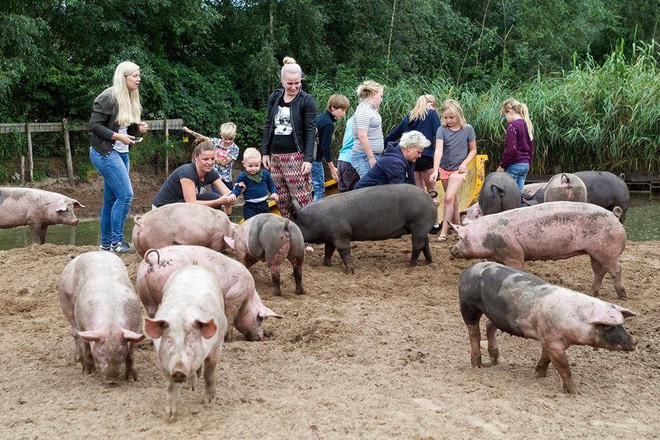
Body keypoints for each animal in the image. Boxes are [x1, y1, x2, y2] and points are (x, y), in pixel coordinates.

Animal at [58, 251, 144, 384]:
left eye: (120, 351)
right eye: (101, 351)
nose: (111, 380)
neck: (111, 323)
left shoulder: (135, 327)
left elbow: (131, 354)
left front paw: (133, 379)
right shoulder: (82, 324)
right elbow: (87, 347)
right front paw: (88, 372)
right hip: (65, 300)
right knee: (75, 334)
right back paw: (78, 362)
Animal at [137, 244, 282, 340]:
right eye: (260, 319)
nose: (261, 338)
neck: (248, 297)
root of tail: (152, 261)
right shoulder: (234, 297)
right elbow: (229, 318)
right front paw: (228, 339)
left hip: (144, 294)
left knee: (152, 314)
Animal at [143, 264, 228, 422]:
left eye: (192, 341)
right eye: (169, 340)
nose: (178, 371)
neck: (182, 315)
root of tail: (194, 266)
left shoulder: (217, 345)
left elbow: (209, 373)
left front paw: (208, 403)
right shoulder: (161, 358)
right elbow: (169, 385)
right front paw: (170, 417)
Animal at [292, 183, 436, 274]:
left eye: (296, 223)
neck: (315, 219)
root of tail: (429, 196)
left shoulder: (341, 235)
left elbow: (344, 252)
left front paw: (350, 272)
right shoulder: (330, 237)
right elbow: (329, 250)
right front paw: (326, 265)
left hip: (419, 225)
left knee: (418, 245)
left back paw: (411, 265)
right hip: (421, 228)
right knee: (426, 243)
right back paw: (429, 262)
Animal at [458, 262, 636, 396]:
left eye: (621, 324)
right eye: (609, 327)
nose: (635, 342)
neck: (577, 321)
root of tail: (470, 269)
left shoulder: (548, 337)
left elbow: (546, 358)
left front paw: (539, 375)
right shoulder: (554, 342)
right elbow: (564, 368)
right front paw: (576, 393)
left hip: (498, 315)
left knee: (489, 326)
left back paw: (495, 360)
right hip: (468, 305)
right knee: (474, 332)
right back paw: (478, 365)